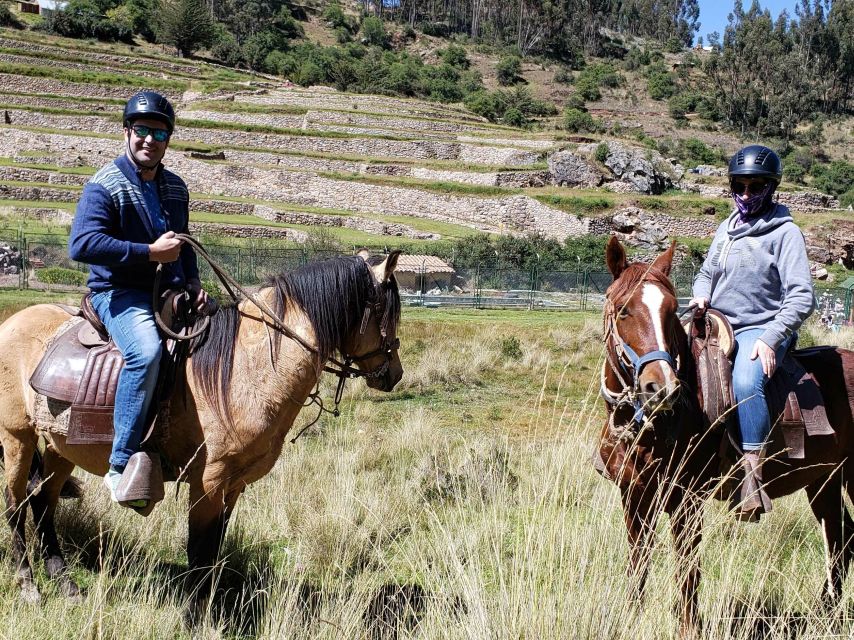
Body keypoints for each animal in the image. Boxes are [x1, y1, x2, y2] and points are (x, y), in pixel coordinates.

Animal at [0, 250, 404, 620]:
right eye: (387, 313)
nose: (394, 374)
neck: (245, 368)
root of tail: (14, 321)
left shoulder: (235, 483)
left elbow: (214, 546)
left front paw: (209, 607)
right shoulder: (209, 480)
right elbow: (199, 548)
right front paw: (194, 614)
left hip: (60, 447)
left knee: (44, 501)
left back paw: (65, 581)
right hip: (17, 437)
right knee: (16, 504)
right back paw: (28, 583)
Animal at [600, 238, 854, 636]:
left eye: (671, 312)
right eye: (624, 311)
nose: (662, 388)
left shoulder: (686, 500)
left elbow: (688, 569)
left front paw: (689, 628)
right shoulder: (633, 494)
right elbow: (638, 562)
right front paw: (629, 620)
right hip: (824, 479)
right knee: (841, 538)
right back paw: (824, 614)